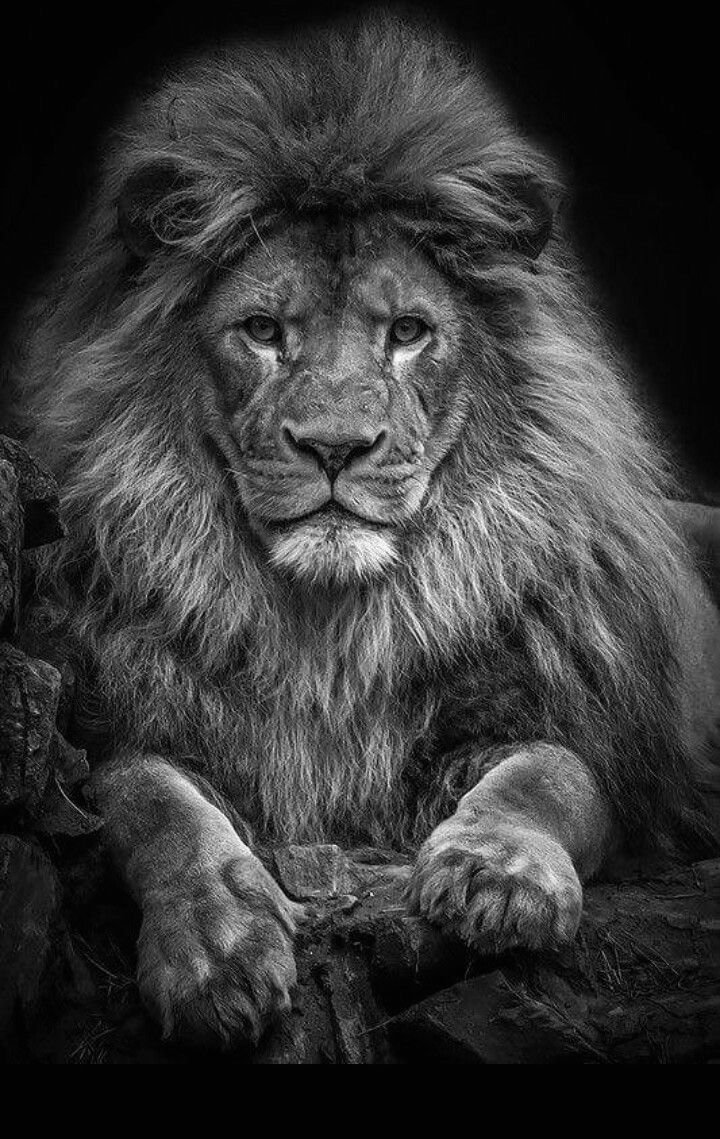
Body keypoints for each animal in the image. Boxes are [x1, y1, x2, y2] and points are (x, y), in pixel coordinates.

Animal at [4, 12, 719, 1048]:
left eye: (409, 331)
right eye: (264, 330)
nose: (336, 446)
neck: (331, 629)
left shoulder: (603, 745)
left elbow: (553, 771)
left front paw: (498, 874)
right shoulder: (110, 722)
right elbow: (144, 797)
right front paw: (217, 945)